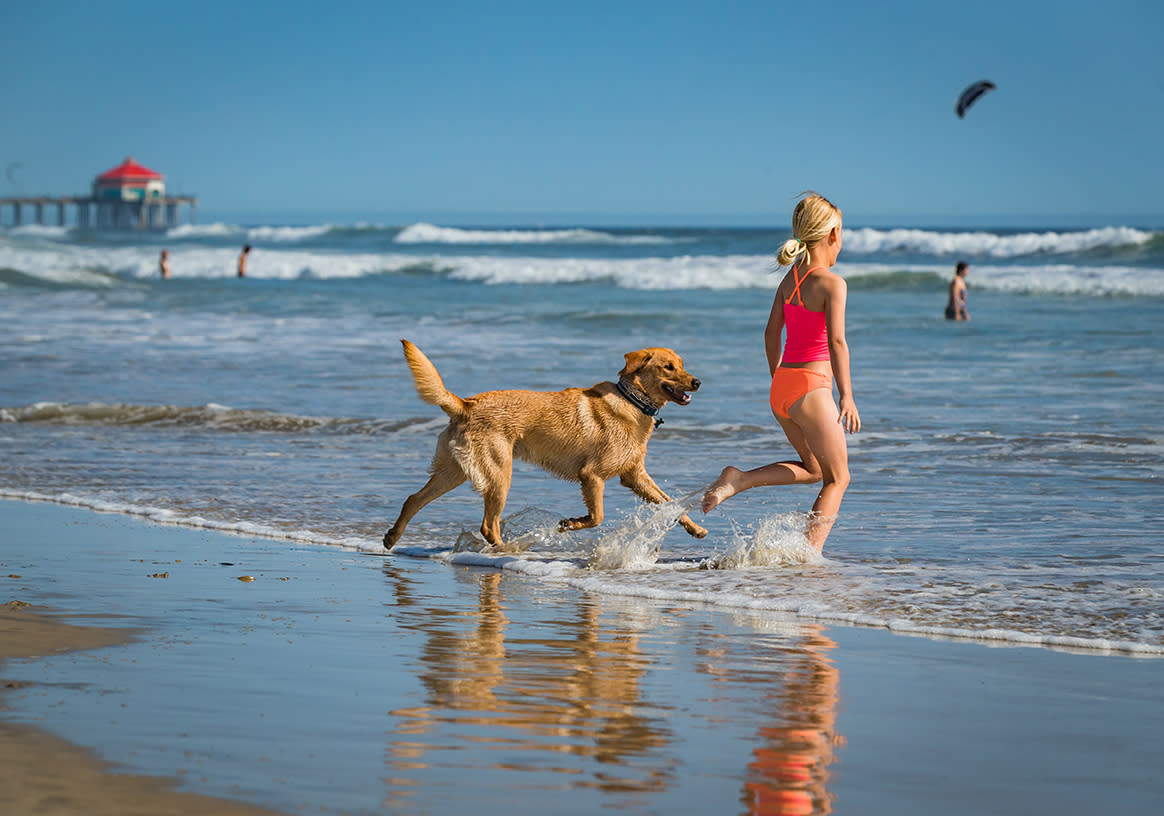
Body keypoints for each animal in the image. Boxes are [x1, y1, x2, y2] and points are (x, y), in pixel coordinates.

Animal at [386, 339, 703, 551]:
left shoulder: (635, 476)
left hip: (455, 472)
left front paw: (696, 528)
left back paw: (392, 536)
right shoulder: (592, 475)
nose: (697, 382)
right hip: (499, 475)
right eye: (668, 367)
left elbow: (671, 504)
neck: (632, 400)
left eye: (682, 365)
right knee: (488, 525)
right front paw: (571, 523)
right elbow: (597, 516)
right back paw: (506, 552)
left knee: (413, 499)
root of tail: (465, 405)